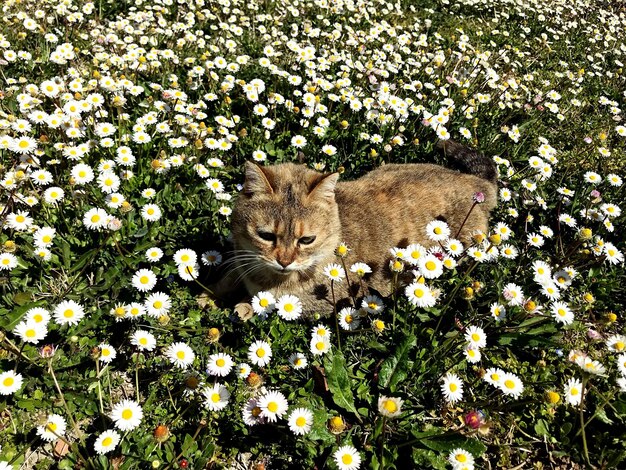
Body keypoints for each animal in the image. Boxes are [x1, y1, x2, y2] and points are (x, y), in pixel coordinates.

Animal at [217, 141, 494, 314]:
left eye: (306, 240)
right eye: (266, 236)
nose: (284, 261)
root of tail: (474, 183)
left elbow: (260, 302)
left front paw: (242, 307)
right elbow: (229, 276)